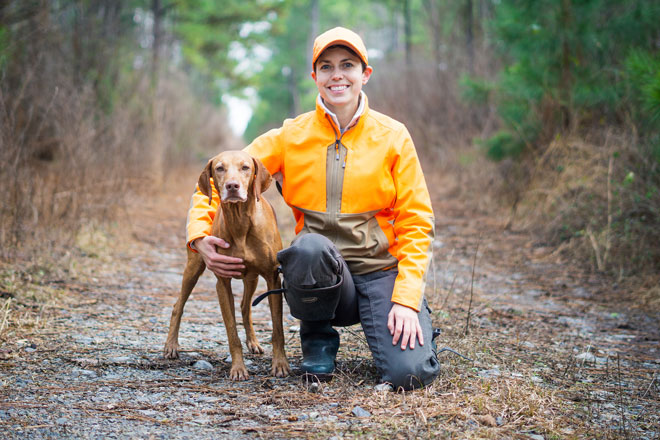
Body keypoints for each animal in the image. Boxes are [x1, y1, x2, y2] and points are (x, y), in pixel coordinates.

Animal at [163, 150, 288, 380]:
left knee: (245, 307)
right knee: (178, 306)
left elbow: (277, 329)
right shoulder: (222, 282)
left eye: (245, 167)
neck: (241, 223)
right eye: (219, 168)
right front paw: (238, 368)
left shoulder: (273, 279)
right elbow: (231, 332)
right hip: (194, 267)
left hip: (252, 278)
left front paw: (280, 364)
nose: (232, 186)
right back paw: (171, 345)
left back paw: (253, 342)